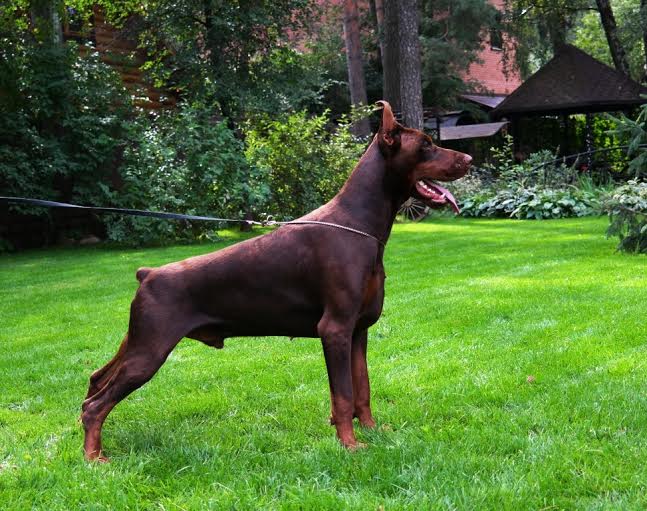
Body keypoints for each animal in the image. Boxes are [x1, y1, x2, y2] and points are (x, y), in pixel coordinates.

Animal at [81, 101, 471, 461]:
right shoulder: (335, 329)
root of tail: (147, 274)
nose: (468, 158)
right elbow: (343, 394)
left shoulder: (358, 330)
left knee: (96, 380)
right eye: (425, 145)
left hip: (137, 340)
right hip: (150, 350)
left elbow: (362, 388)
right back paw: (94, 458)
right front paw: (349, 444)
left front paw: (374, 431)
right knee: (96, 405)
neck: (359, 224)